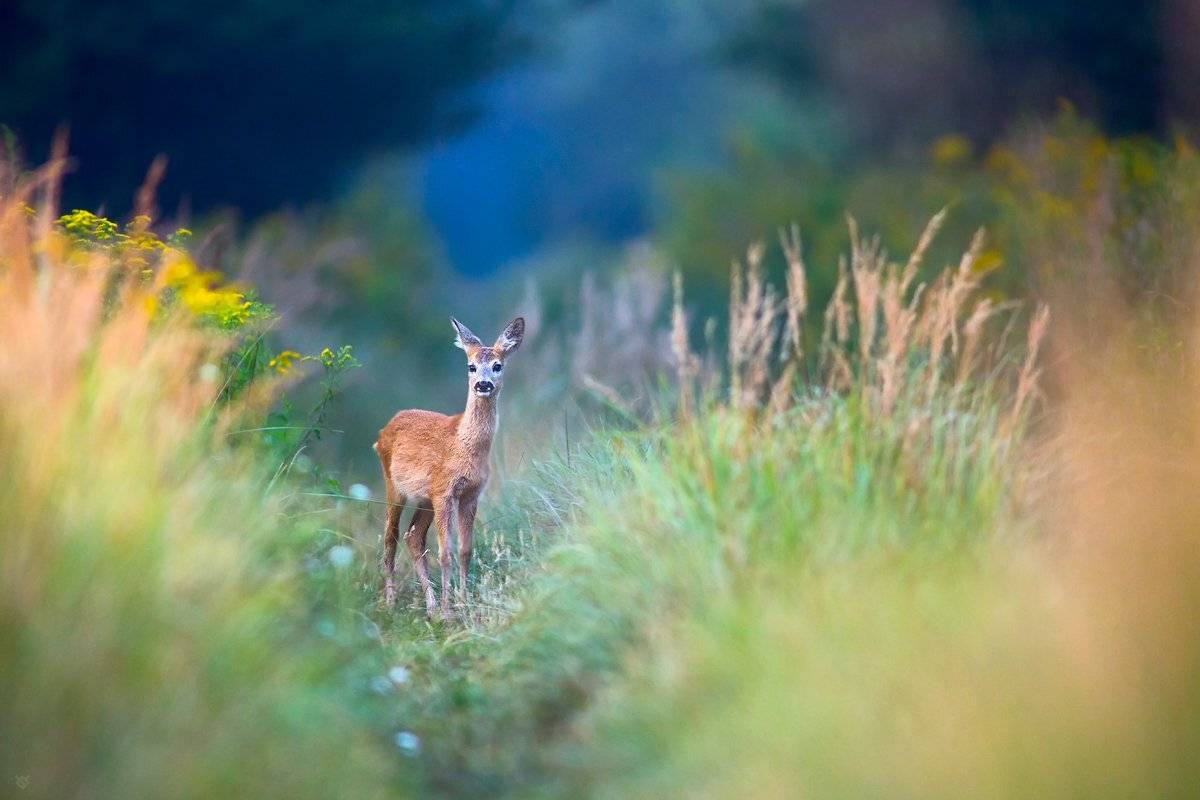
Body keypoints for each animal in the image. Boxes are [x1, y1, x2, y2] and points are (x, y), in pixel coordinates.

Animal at [374, 316, 524, 619]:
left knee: (412, 536)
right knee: (390, 536)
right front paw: (448, 611)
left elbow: (465, 550)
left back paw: (429, 606)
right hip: (394, 486)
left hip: (425, 499)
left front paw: (463, 603)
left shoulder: (469, 495)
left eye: (498, 365)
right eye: (471, 366)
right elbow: (445, 553)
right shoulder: (444, 491)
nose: (483, 384)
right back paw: (392, 602)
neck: (463, 445)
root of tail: (383, 430)